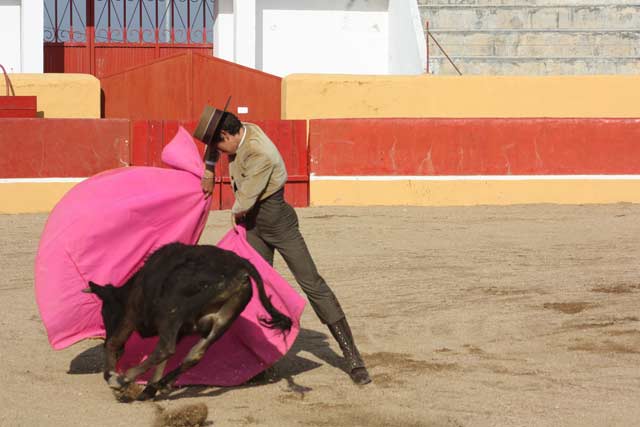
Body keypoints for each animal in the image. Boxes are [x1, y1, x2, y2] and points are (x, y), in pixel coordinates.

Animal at [85, 244, 292, 402]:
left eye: (105, 312)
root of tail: (240, 266)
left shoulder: (133, 315)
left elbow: (115, 342)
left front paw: (113, 377)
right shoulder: (182, 329)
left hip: (171, 311)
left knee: (165, 349)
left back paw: (123, 380)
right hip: (223, 321)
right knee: (194, 354)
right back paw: (157, 385)